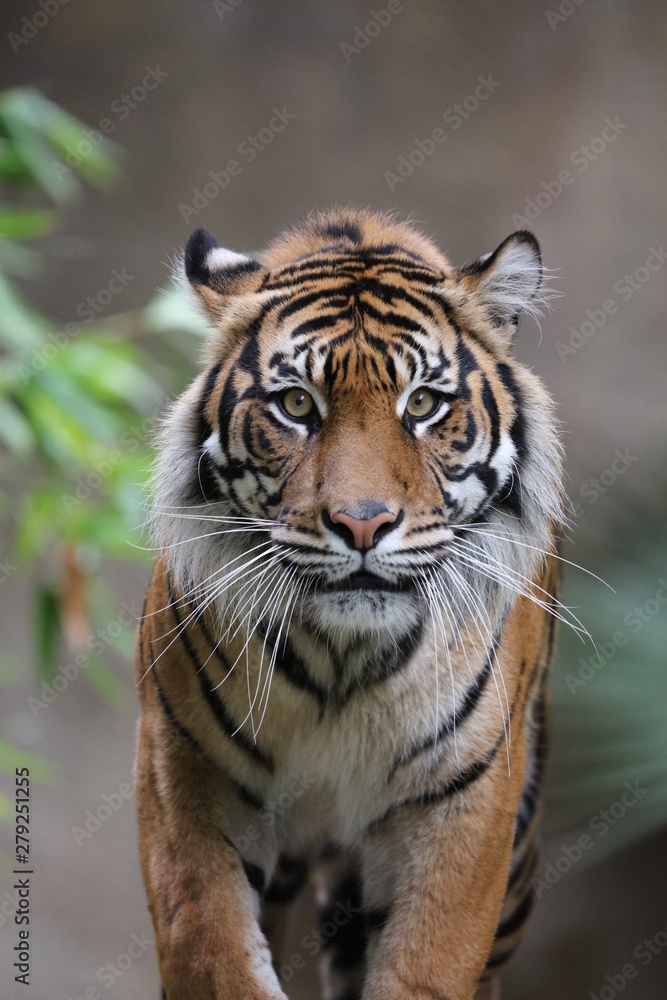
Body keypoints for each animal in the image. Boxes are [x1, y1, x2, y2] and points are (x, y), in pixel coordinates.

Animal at [134, 207, 564, 1000]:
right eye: (297, 404)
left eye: (422, 403)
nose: (362, 524)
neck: (342, 660)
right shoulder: (183, 771)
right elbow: (213, 951)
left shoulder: (464, 802)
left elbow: (427, 967)